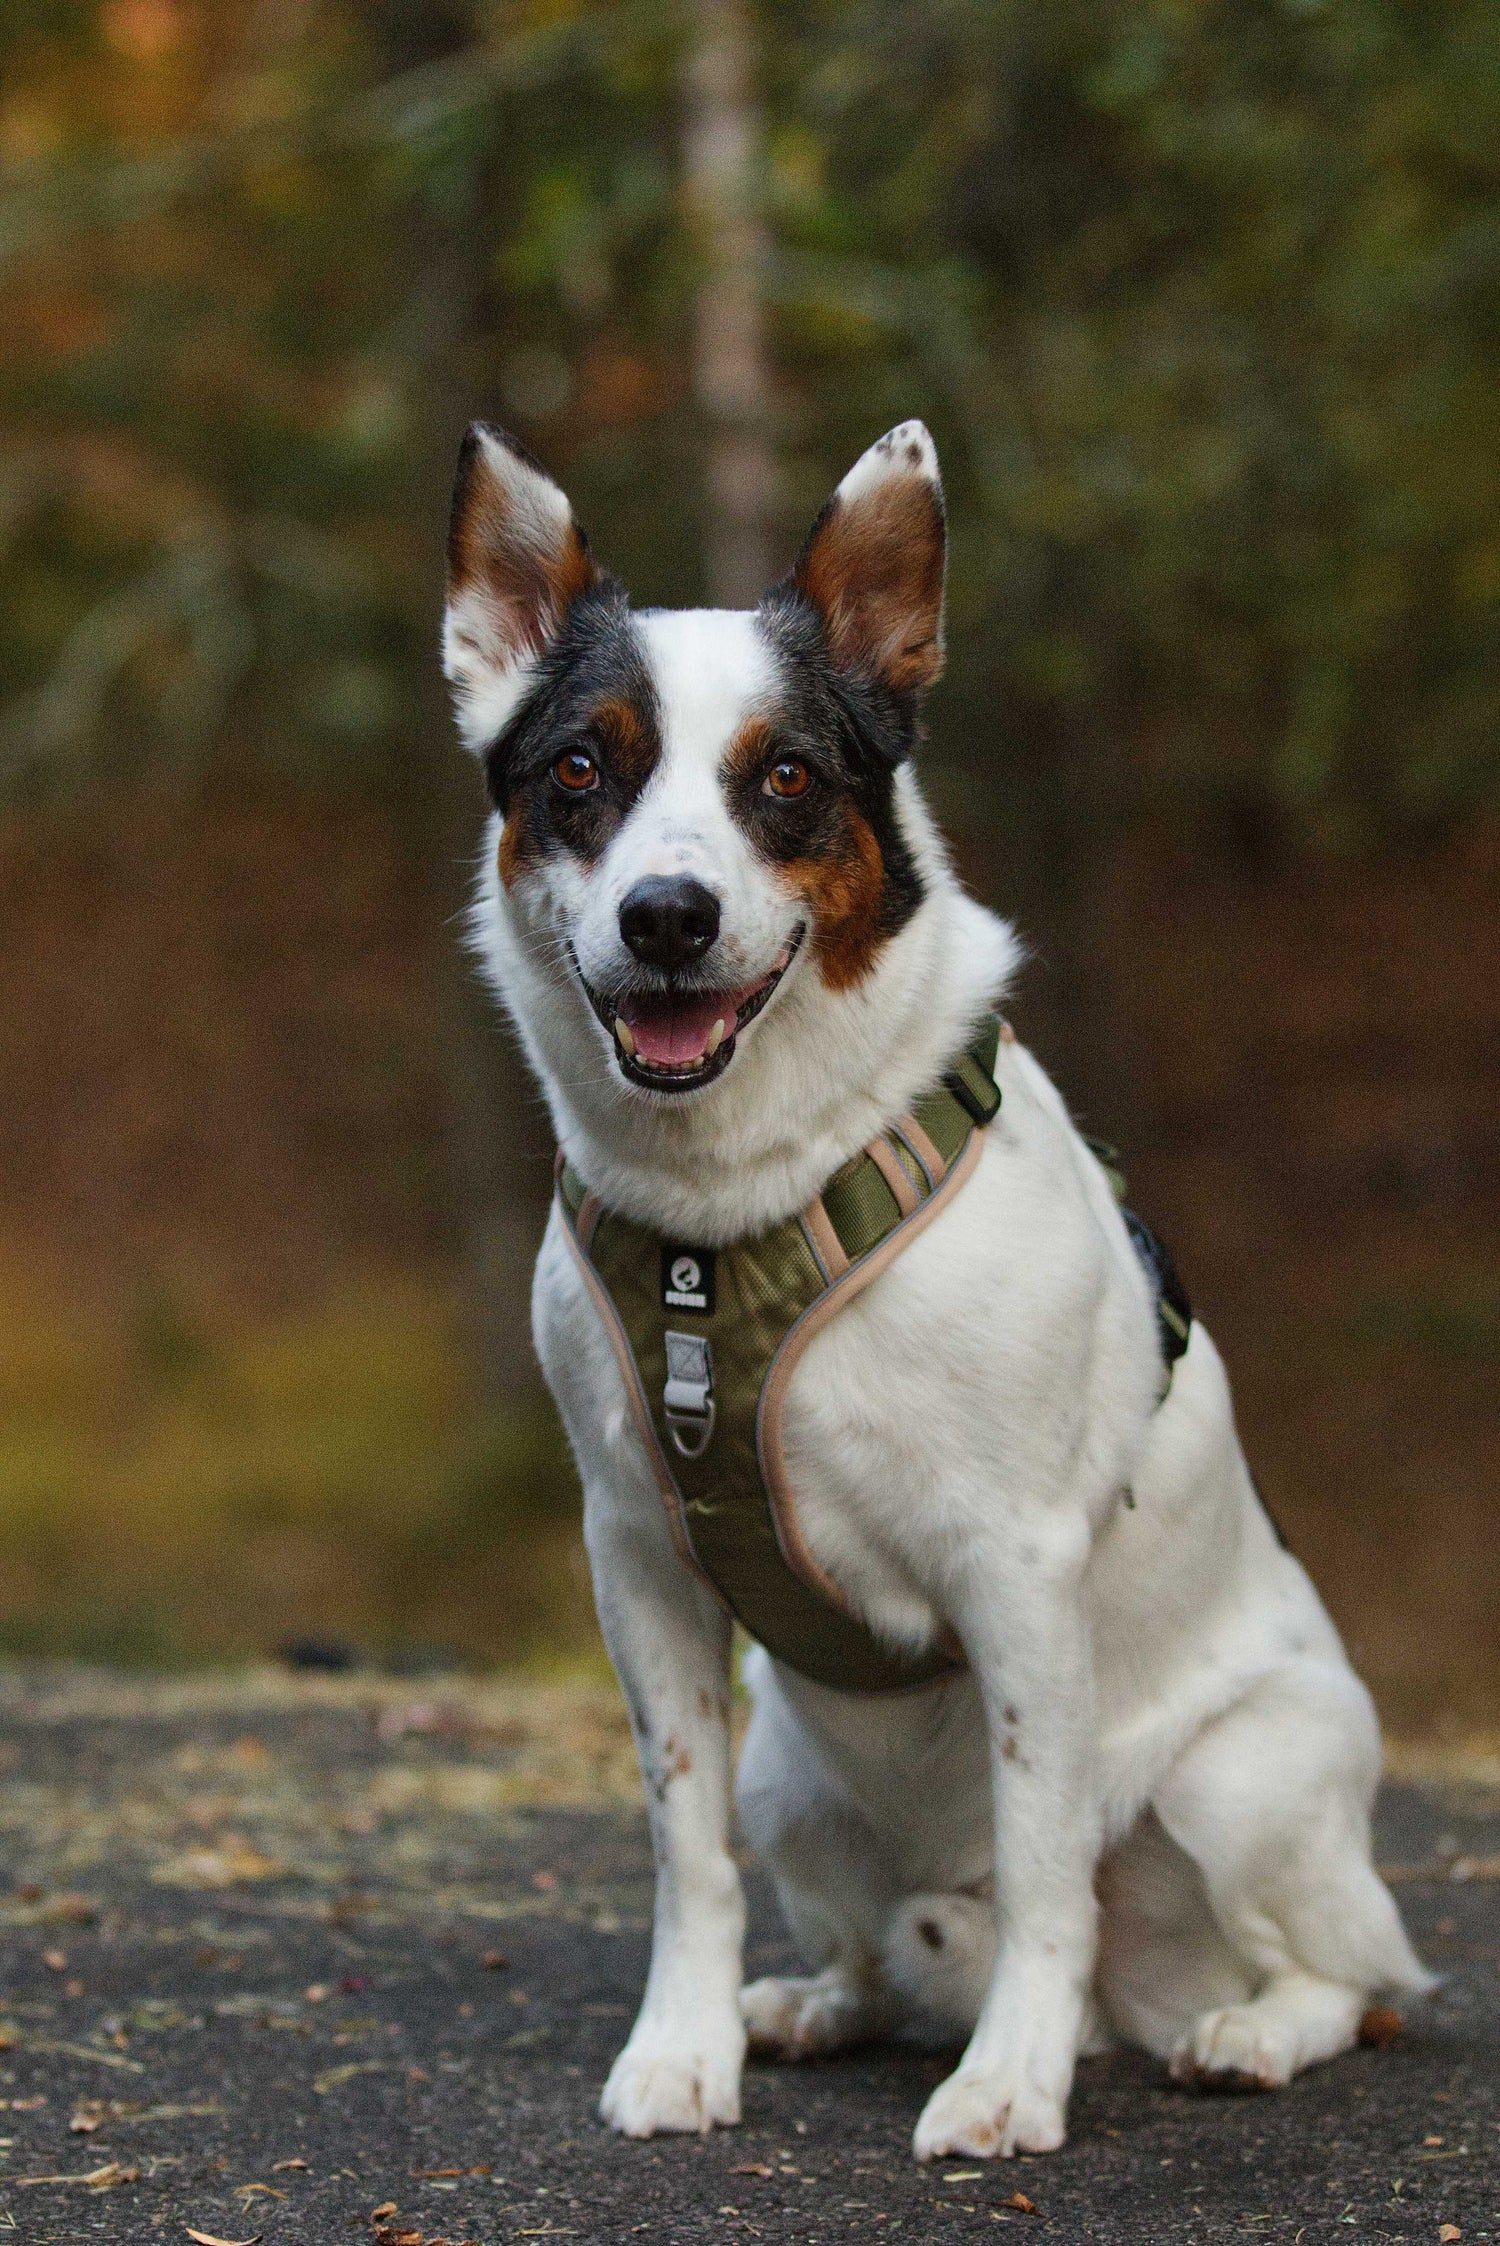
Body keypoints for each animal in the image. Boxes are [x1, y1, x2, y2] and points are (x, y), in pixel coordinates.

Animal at [442, 417, 1428, 2156]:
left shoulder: (1017, 1569)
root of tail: (1147, 2001)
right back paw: (819, 2004)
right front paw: (686, 2044)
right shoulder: (637, 1559)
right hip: (794, 1775)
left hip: (1240, 1781)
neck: (731, 1211)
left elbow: (1043, 1868)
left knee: (1340, 1978)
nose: (668, 917)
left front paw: (1009, 2085)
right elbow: (683, 1848)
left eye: (786, 776)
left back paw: (1237, 2031)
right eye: (578, 769)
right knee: (877, 1941)